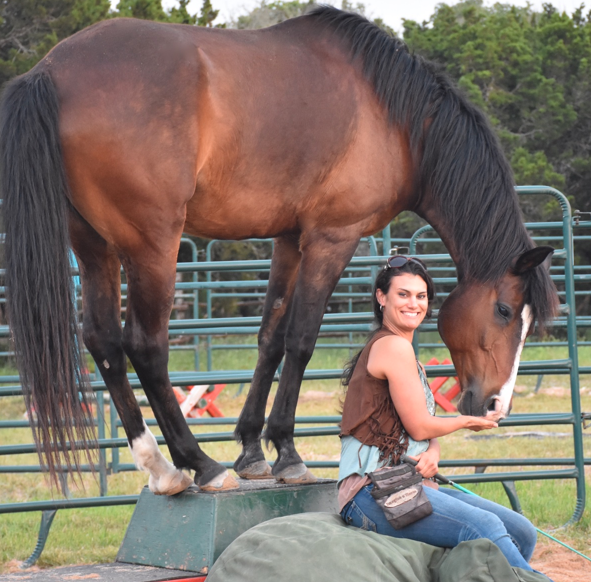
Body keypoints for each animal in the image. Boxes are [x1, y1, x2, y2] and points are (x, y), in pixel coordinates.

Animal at [0, 6, 556, 496]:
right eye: (504, 311)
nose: (495, 408)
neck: (396, 118)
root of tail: (51, 71)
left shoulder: (289, 238)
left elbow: (270, 335)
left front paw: (251, 450)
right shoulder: (333, 236)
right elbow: (302, 339)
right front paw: (287, 454)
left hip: (94, 245)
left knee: (103, 341)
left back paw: (159, 468)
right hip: (152, 244)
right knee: (145, 344)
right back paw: (199, 465)